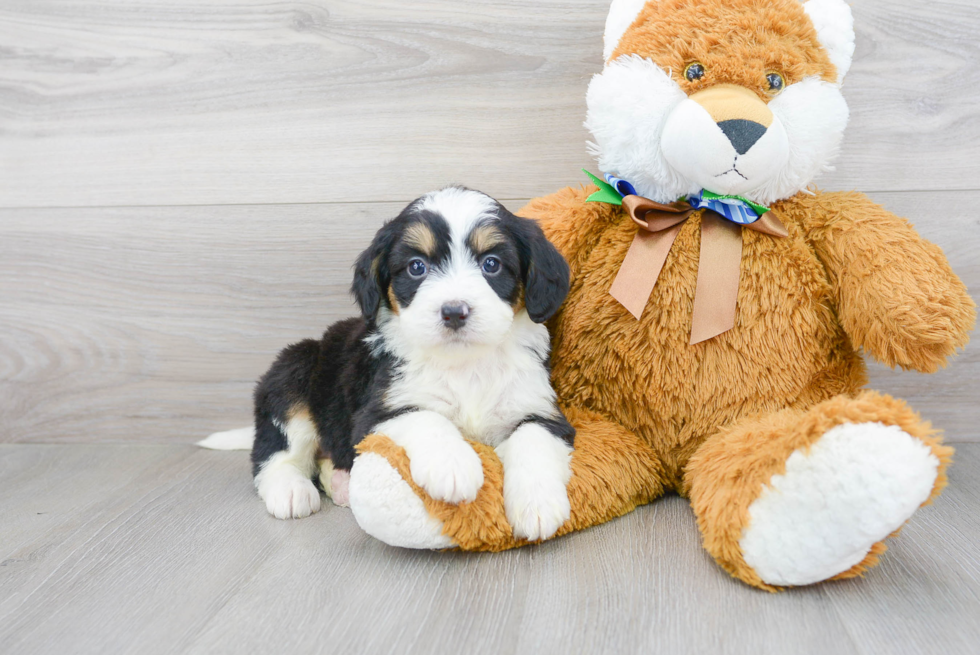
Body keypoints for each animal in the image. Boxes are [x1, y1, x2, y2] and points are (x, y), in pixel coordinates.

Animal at [251, 186, 576, 544]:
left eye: (491, 263)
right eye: (416, 267)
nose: (454, 311)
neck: (466, 365)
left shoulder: (540, 409)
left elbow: (534, 440)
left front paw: (538, 504)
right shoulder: (376, 413)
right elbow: (426, 417)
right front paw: (453, 466)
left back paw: (340, 485)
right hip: (294, 369)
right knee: (274, 454)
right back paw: (290, 491)